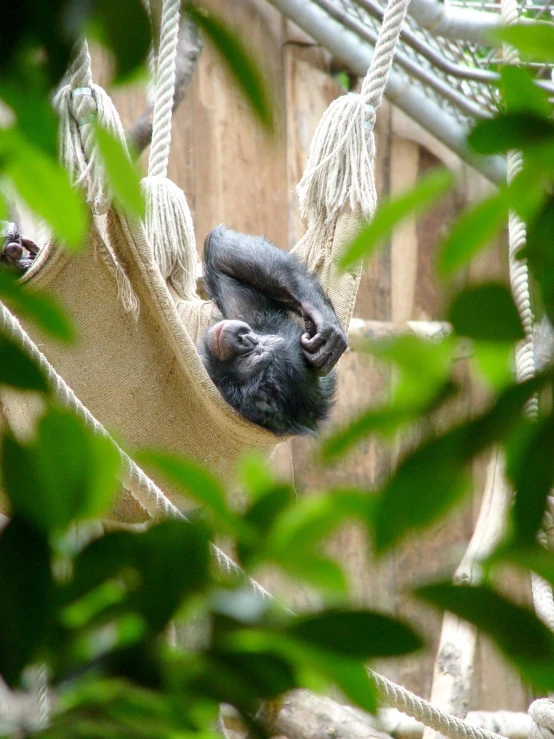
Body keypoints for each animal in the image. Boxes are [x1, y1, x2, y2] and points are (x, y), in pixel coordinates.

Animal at [1, 223, 344, 436]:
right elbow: (222, 254)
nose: (246, 338)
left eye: (256, 359)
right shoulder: (261, 319)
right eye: (259, 344)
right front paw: (324, 321)